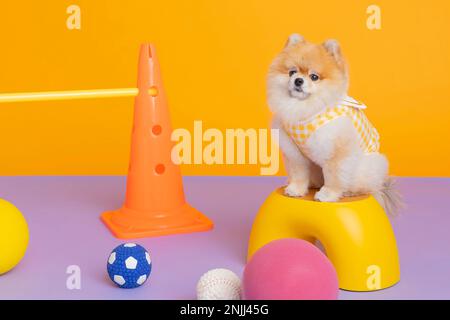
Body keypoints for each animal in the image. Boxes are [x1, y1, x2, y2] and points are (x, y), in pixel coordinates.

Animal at [268, 33, 400, 216]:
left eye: (314, 77)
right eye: (292, 72)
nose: (298, 80)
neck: (306, 108)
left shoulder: (335, 151)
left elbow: (334, 175)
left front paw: (328, 195)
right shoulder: (294, 152)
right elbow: (298, 172)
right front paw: (296, 189)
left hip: (365, 168)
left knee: (366, 187)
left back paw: (349, 192)